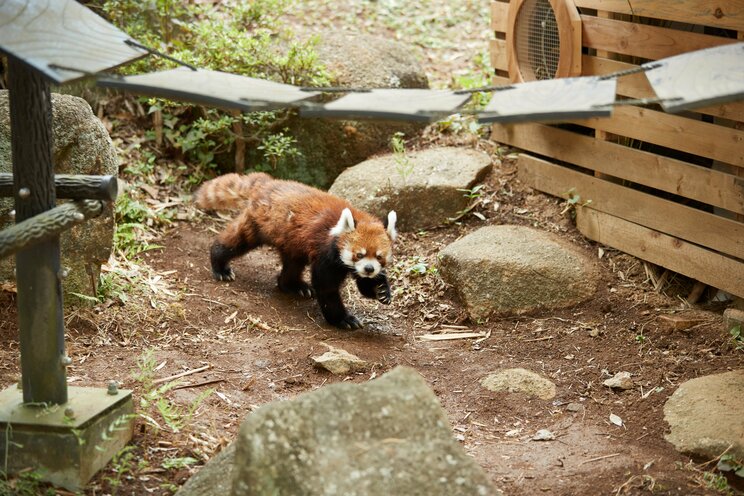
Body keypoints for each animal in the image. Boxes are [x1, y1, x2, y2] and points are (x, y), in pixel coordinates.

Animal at [195, 172, 398, 332]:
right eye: (359, 254)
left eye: (379, 257)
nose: (369, 269)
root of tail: (269, 183)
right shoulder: (326, 254)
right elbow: (326, 287)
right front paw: (342, 319)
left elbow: (364, 285)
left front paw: (381, 290)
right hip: (258, 223)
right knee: (237, 241)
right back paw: (220, 265)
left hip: (292, 241)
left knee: (293, 264)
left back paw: (293, 285)